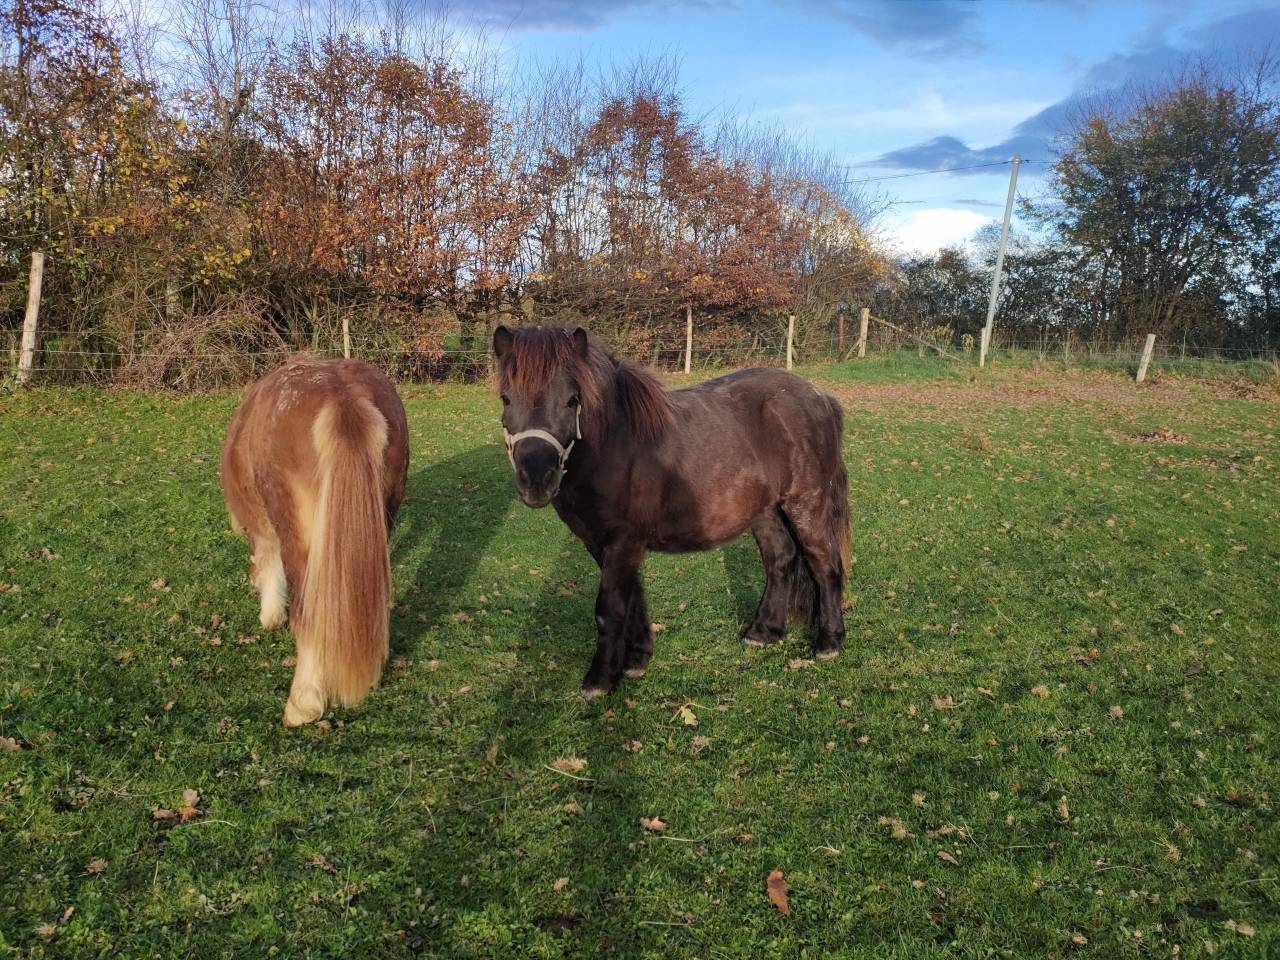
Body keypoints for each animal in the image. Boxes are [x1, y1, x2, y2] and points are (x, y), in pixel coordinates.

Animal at [493, 325, 850, 697]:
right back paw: (764, 632)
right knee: (780, 560)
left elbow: (610, 607)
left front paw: (600, 679)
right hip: (765, 511)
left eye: (572, 400)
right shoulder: (601, 543)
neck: (616, 445)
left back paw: (829, 642)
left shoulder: (623, 540)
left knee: (824, 565)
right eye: (506, 399)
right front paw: (636, 659)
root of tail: (819, 397)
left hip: (806, 503)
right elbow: (632, 598)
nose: (536, 479)